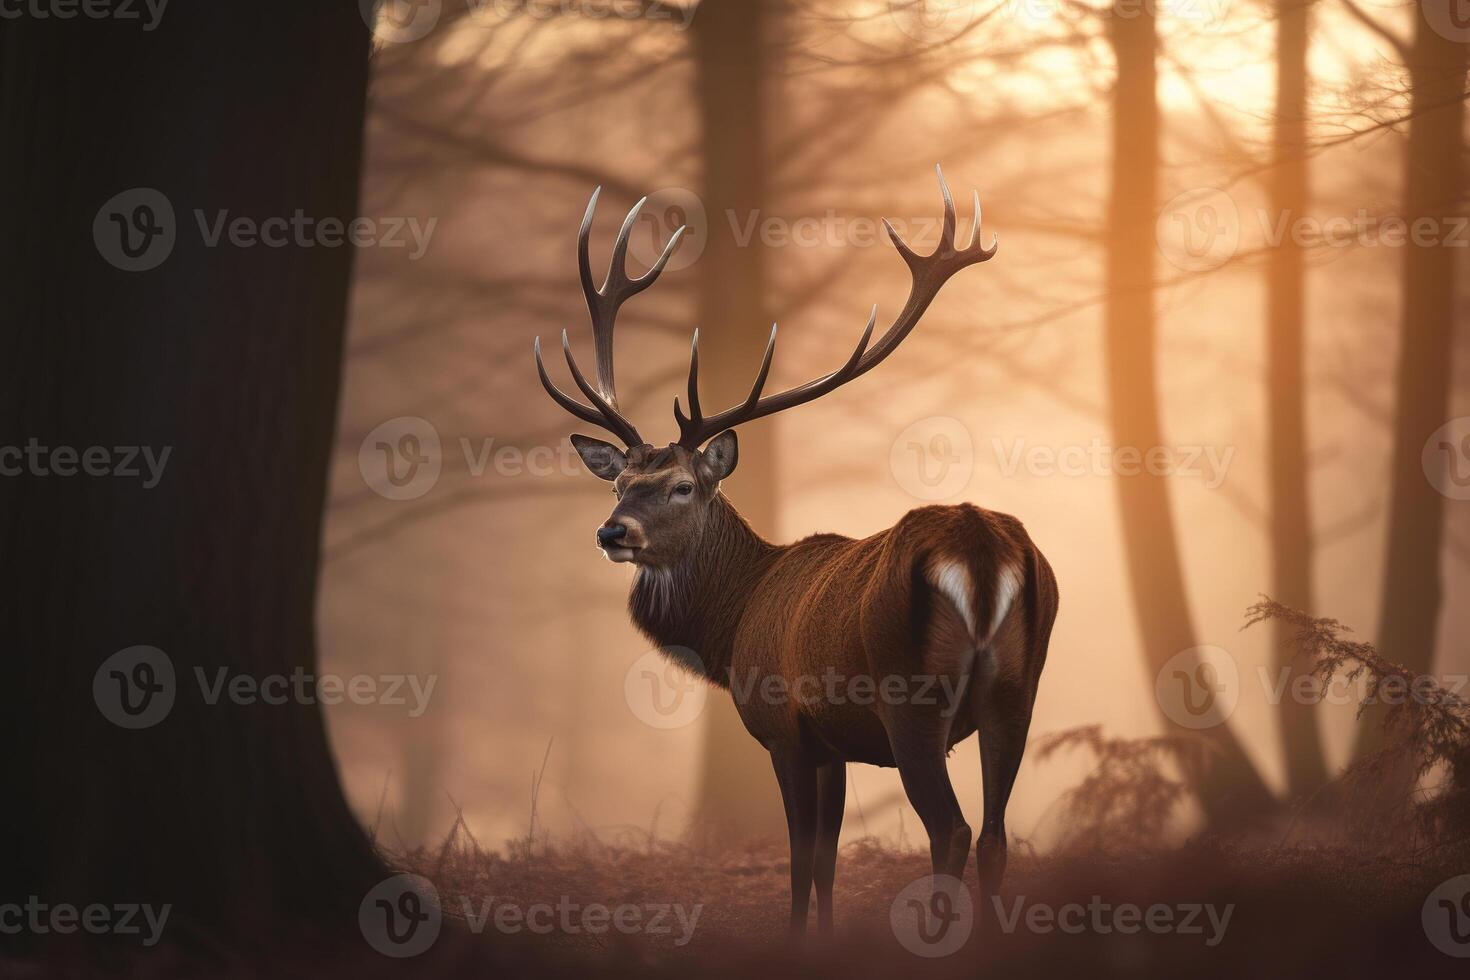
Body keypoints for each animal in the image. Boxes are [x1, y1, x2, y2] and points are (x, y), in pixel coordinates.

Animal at [535, 168, 1064, 934]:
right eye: (620, 484)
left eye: (683, 486)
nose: (613, 533)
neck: (731, 628)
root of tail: (982, 547)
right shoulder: (833, 743)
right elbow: (827, 861)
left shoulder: (784, 726)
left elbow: (799, 859)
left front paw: (795, 940)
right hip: (1018, 689)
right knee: (995, 834)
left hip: (912, 700)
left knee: (953, 829)